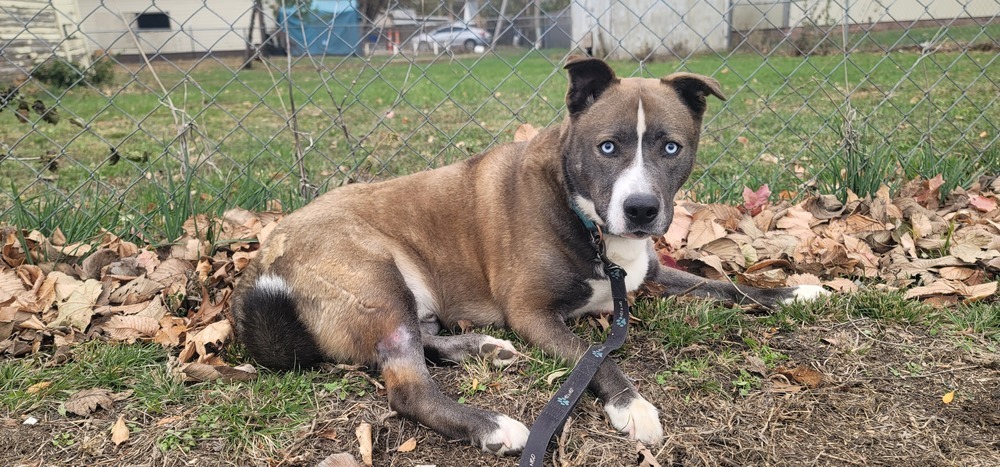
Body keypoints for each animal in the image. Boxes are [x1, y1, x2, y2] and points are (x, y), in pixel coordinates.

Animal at [230, 55, 824, 458]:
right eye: (608, 147)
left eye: (671, 147)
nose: (641, 209)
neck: (586, 220)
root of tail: (262, 257)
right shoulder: (532, 313)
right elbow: (596, 357)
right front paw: (631, 406)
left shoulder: (649, 272)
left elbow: (727, 285)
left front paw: (796, 291)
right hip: (377, 276)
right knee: (407, 386)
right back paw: (495, 427)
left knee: (419, 341)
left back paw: (484, 348)